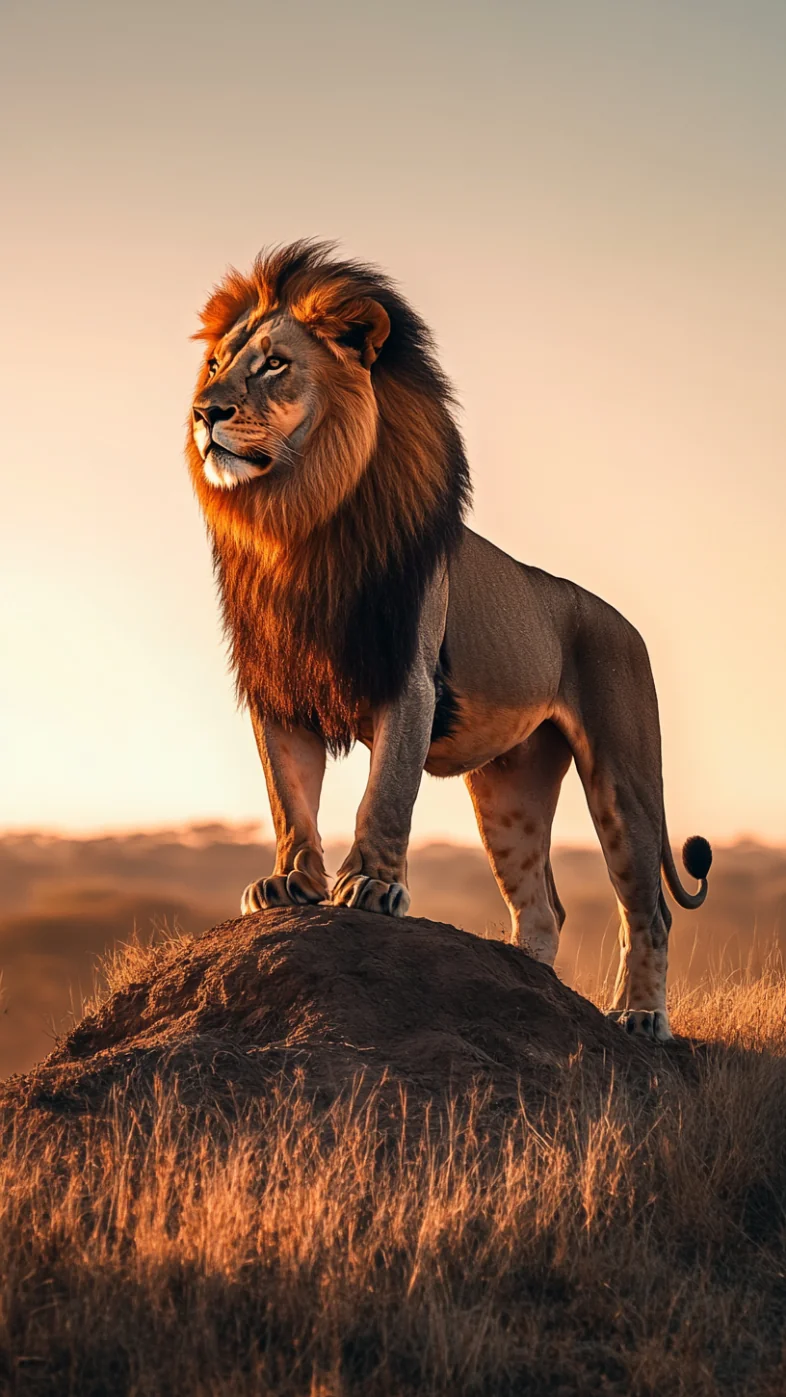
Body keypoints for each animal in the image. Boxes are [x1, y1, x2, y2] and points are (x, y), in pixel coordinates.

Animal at [186, 239, 711, 1042]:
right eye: (216, 363)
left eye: (274, 364)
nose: (205, 411)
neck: (296, 524)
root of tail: (617, 618)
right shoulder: (279, 688)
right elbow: (288, 798)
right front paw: (290, 883)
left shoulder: (409, 676)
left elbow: (386, 793)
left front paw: (370, 885)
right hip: (508, 792)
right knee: (544, 906)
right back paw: (527, 988)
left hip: (623, 776)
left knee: (647, 909)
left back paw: (641, 1017)